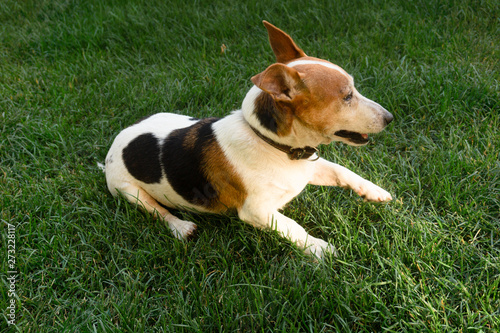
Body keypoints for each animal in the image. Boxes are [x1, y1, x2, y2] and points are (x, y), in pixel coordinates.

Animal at [104, 21, 394, 256]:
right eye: (347, 96)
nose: (390, 117)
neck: (272, 144)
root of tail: (116, 143)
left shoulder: (310, 168)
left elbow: (342, 171)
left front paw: (374, 191)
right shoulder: (257, 210)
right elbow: (293, 227)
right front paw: (320, 249)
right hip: (127, 190)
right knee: (157, 211)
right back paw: (180, 226)